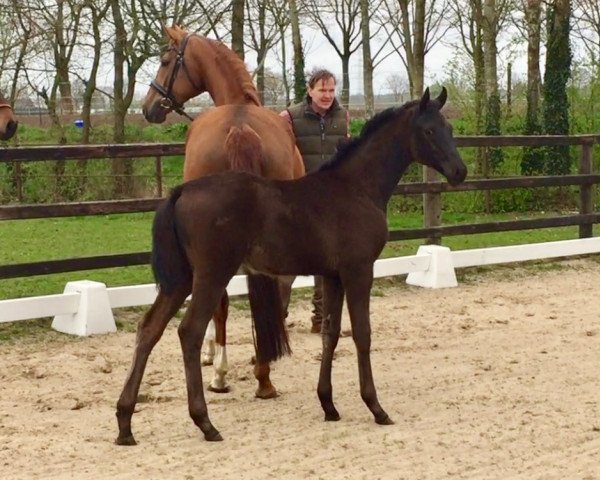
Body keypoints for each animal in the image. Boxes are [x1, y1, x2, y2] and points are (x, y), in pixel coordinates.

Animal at [116, 88, 468, 444]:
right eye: (429, 131)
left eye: (450, 128)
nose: (459, 172)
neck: (356, 188)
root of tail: (181, 191)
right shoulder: (359, 271)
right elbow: (362, 334)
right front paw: (376, 407)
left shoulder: (332, 275)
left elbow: (330, 334)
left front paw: (328, 405)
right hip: (212, 274)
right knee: (189, 331)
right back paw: (205, 422)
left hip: (182, 279)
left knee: (149, 329)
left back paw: (125, 423)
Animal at [142, 28, 304, 400]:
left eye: (165, 60)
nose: (149, 107)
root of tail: (240, 128)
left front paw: (213, 357)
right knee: (278, 289)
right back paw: (264, 372)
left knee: (221, 300)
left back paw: (222, 373)